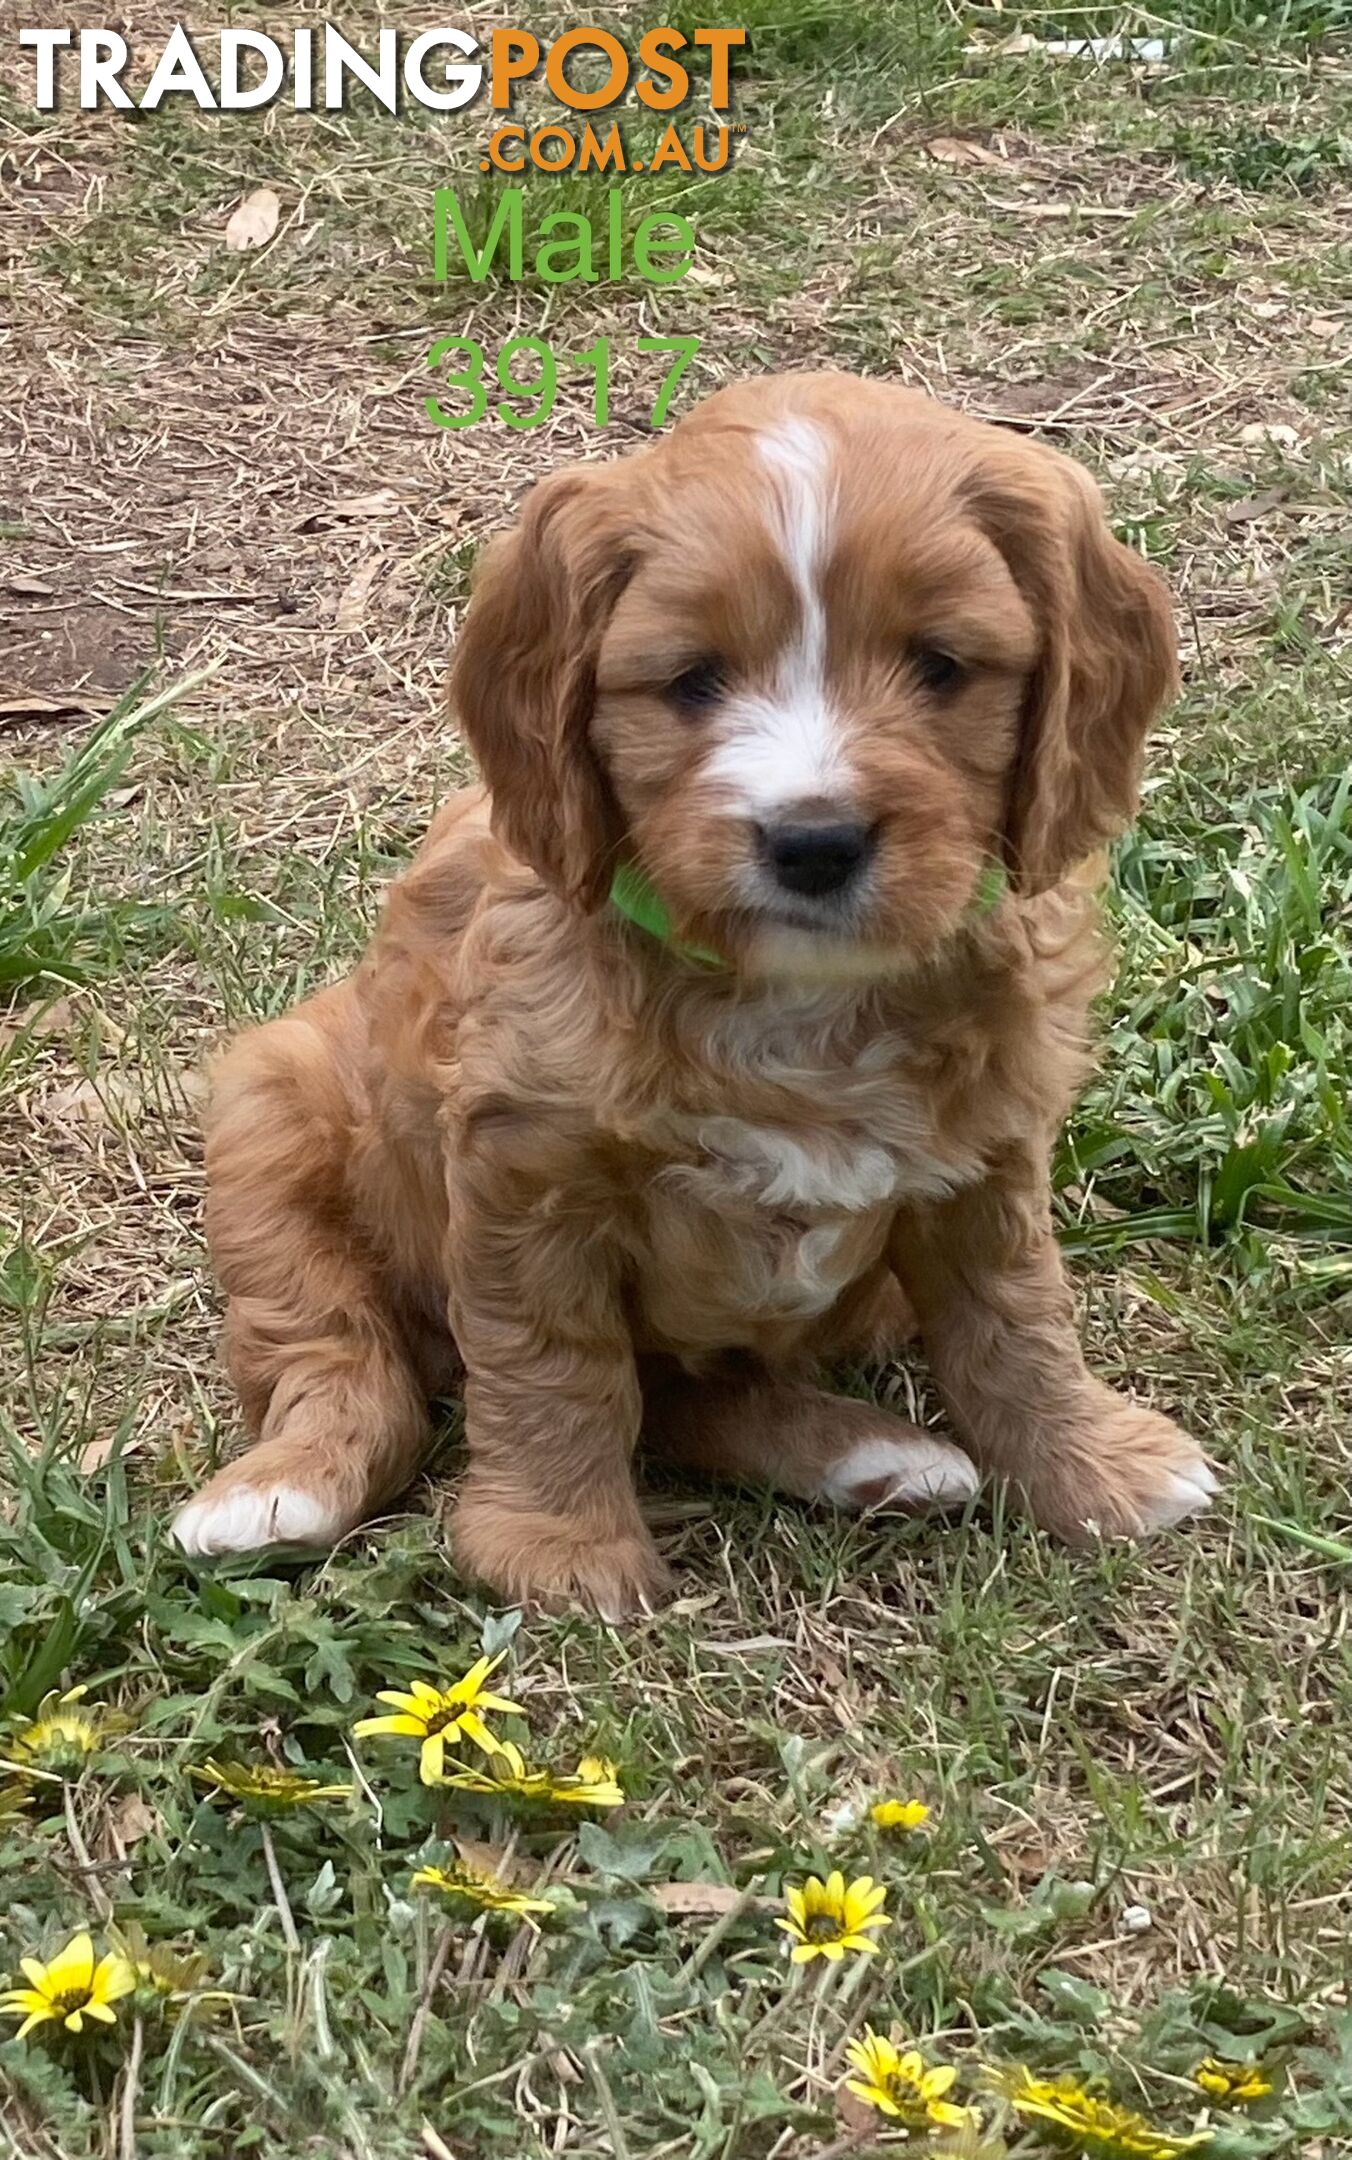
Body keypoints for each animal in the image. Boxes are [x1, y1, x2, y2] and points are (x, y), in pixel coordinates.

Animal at [173, 375, 1218, 1624]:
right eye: (691, 681)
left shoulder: (987, 1156)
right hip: (273, 1121)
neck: (796, 1004)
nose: (812, 843)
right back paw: (278, 1490)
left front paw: (1091, 1468)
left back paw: (867, 1455)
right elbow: (552, 1366)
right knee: (333, 1346)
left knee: (694, 1392)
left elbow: (1015, 1319)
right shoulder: (525, 1177)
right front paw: (558, 1552)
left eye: (938, 665)